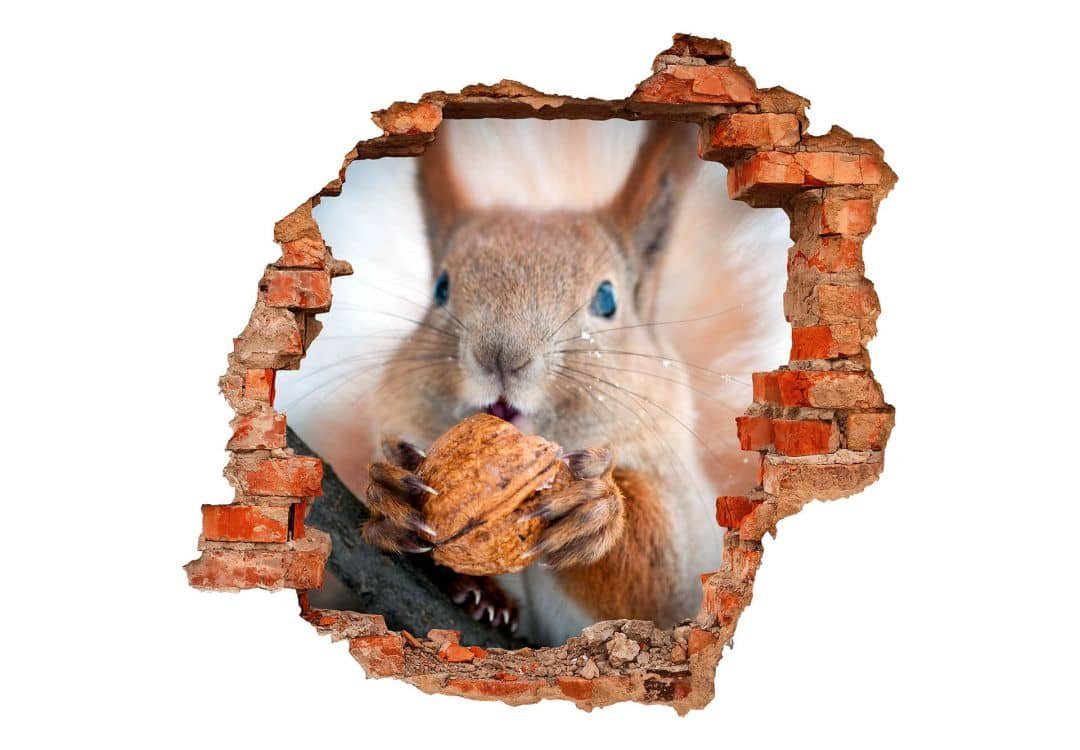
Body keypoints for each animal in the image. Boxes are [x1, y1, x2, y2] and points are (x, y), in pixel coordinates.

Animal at [358, 120, 745, 646]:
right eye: (440, 288)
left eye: (607, 300)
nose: (501, 355)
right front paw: (391, 498)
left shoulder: (687, 531)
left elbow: (657, 582)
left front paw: (594, 511)